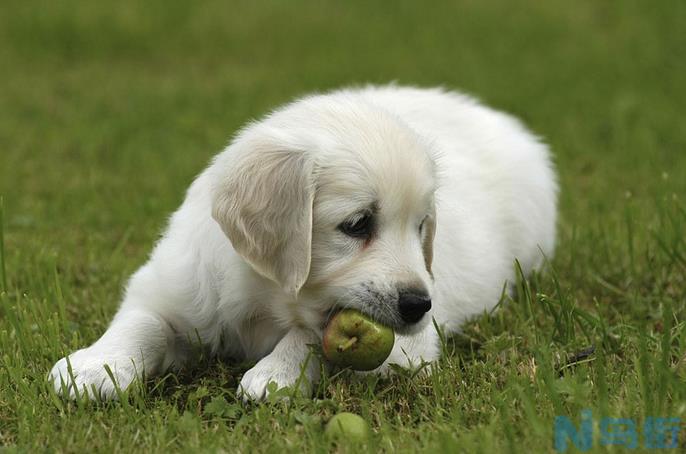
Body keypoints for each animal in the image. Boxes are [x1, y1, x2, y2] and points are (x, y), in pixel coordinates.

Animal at [49, 85, 560, 400]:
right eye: (357, 224)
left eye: (421, 227)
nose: (420, 305)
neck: (266, 298)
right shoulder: (172, 283)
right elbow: (142, 321)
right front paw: (95, 366)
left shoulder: (406, 351)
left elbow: (314, 333)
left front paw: (275, 375)